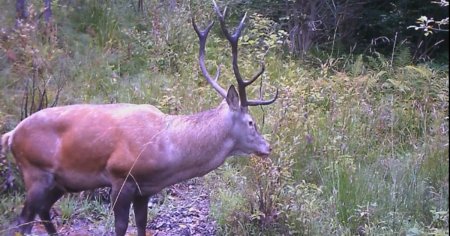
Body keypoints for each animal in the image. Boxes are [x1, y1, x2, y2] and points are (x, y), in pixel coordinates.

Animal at [0, 0, 278, 235]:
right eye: (251, 122)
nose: (268, 147)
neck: (168, 150)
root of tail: (11, 135)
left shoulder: (145, 190)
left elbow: (143, 225)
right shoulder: (120, 177)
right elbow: (121, 227)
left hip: (58, 182)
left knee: (42, 213)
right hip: (35, 172)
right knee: (23, 221)